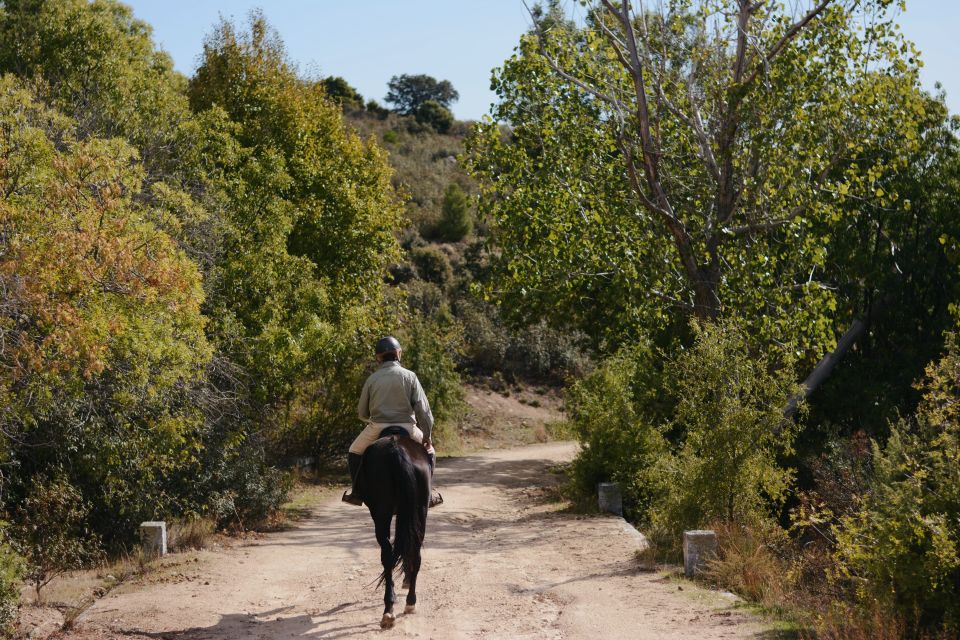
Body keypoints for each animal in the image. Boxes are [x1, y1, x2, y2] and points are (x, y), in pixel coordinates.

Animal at [358, 428, 430, 628]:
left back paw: (391, 608)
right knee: (413, 552)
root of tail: (397, 450)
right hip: (418, 509)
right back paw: (408, 603)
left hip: (382, 511)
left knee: (388, 553)